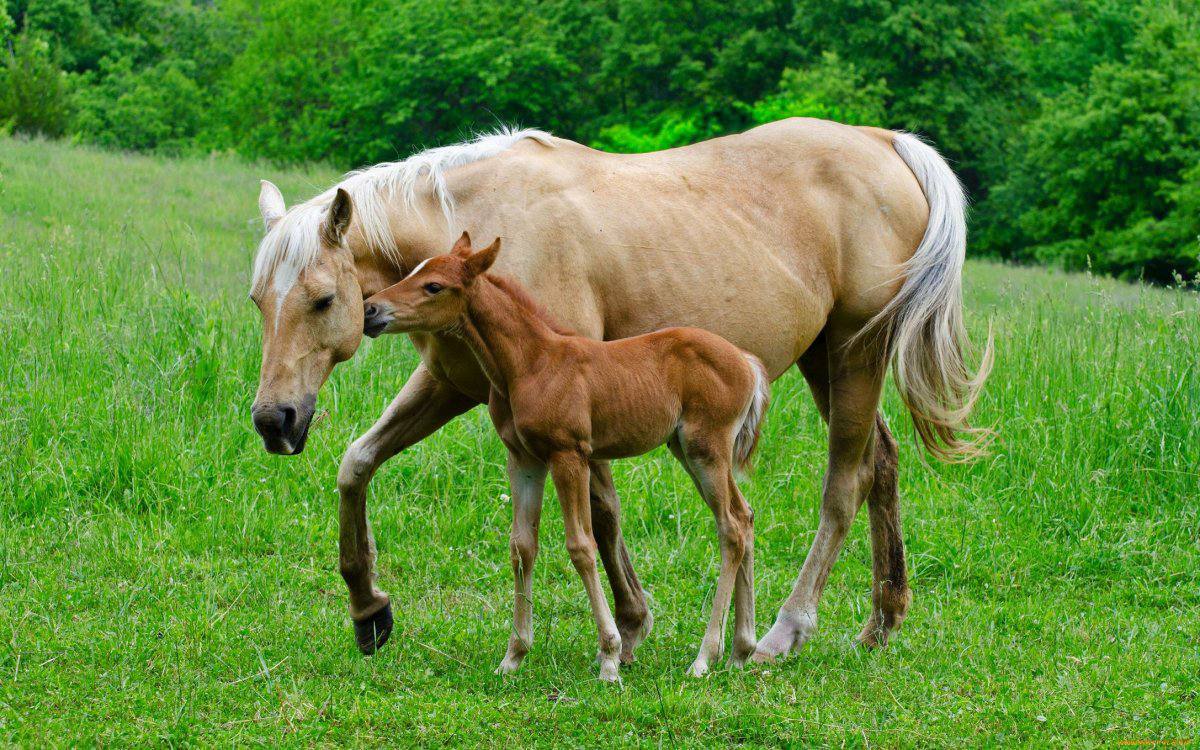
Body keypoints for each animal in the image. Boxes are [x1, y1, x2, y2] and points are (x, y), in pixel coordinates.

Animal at [360, 232, 768, 676]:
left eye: (433, 285)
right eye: (413, 272)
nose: (370, 310)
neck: (531, 364)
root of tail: (746, 361)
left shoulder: (568, 454)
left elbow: (581, 545)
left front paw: (609, 657)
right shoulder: (523, 459)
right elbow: (522, 547)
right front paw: (513, 656)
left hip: (705, 448)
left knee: (730, 526)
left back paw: (705, 657)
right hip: (689, 449)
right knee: (744, 517)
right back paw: (741, 650)